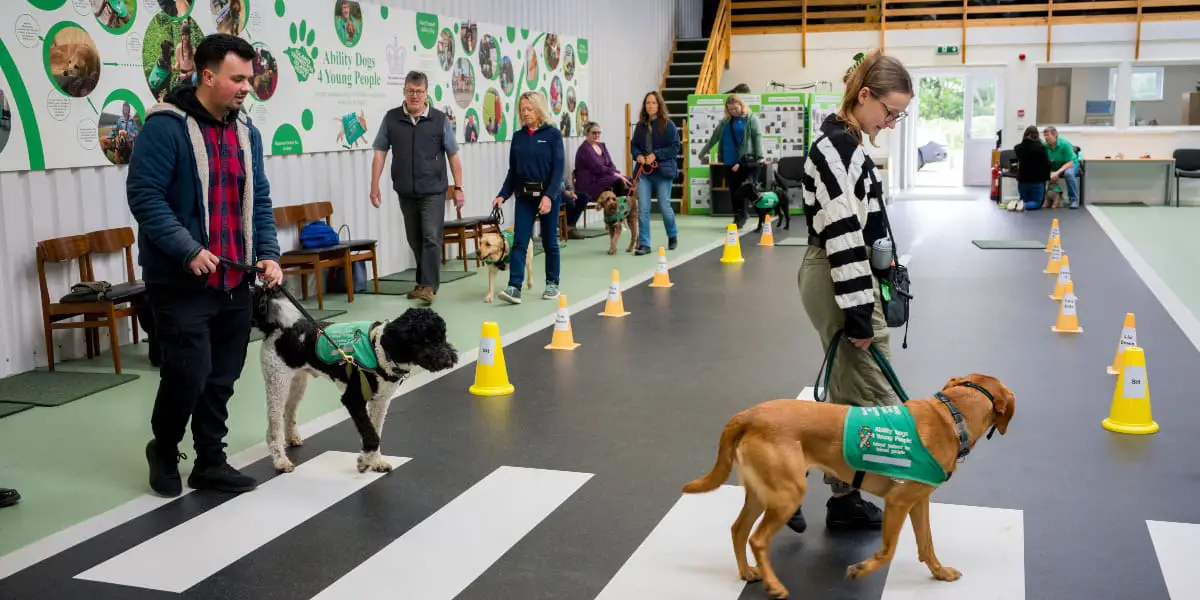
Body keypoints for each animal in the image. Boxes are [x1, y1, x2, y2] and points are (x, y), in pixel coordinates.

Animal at [250, 283, 456, 475]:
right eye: (426, 340)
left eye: (442, 336)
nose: (450, 359)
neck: (380, 349)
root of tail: (275, 328)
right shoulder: (353, 399)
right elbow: (371, 435)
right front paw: (364, 461)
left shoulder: (380, 401)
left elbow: (375, 430)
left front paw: (374, 461)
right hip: (277, 382)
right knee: (273, 427)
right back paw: (280, 461)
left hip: (297, 382)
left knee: (289, 410)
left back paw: (292, 438)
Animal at [686, 372, 1012, 597]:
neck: (951, 416)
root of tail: (749, 414)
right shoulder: (898, 503)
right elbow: (888, 551)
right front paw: (861, 569)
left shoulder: (919, 502)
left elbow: (927, 544)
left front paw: (940, 572)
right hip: (787, 494)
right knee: (757, 539)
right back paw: (774, 584)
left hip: (760, 493)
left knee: (738, 530)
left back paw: (746, 572)